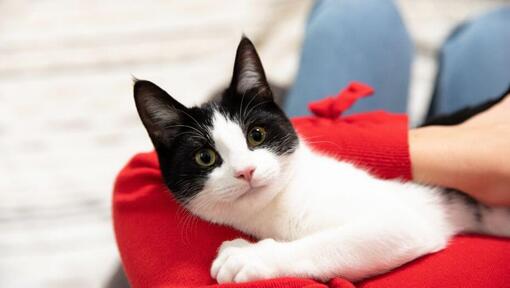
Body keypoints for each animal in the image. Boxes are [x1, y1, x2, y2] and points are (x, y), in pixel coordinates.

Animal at [132, 36, 510, 284]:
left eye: (256, 135)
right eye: (205, 157)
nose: (246, 171)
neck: (277, 211)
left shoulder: (405, 220)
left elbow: (333, 243)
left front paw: (251, 255)